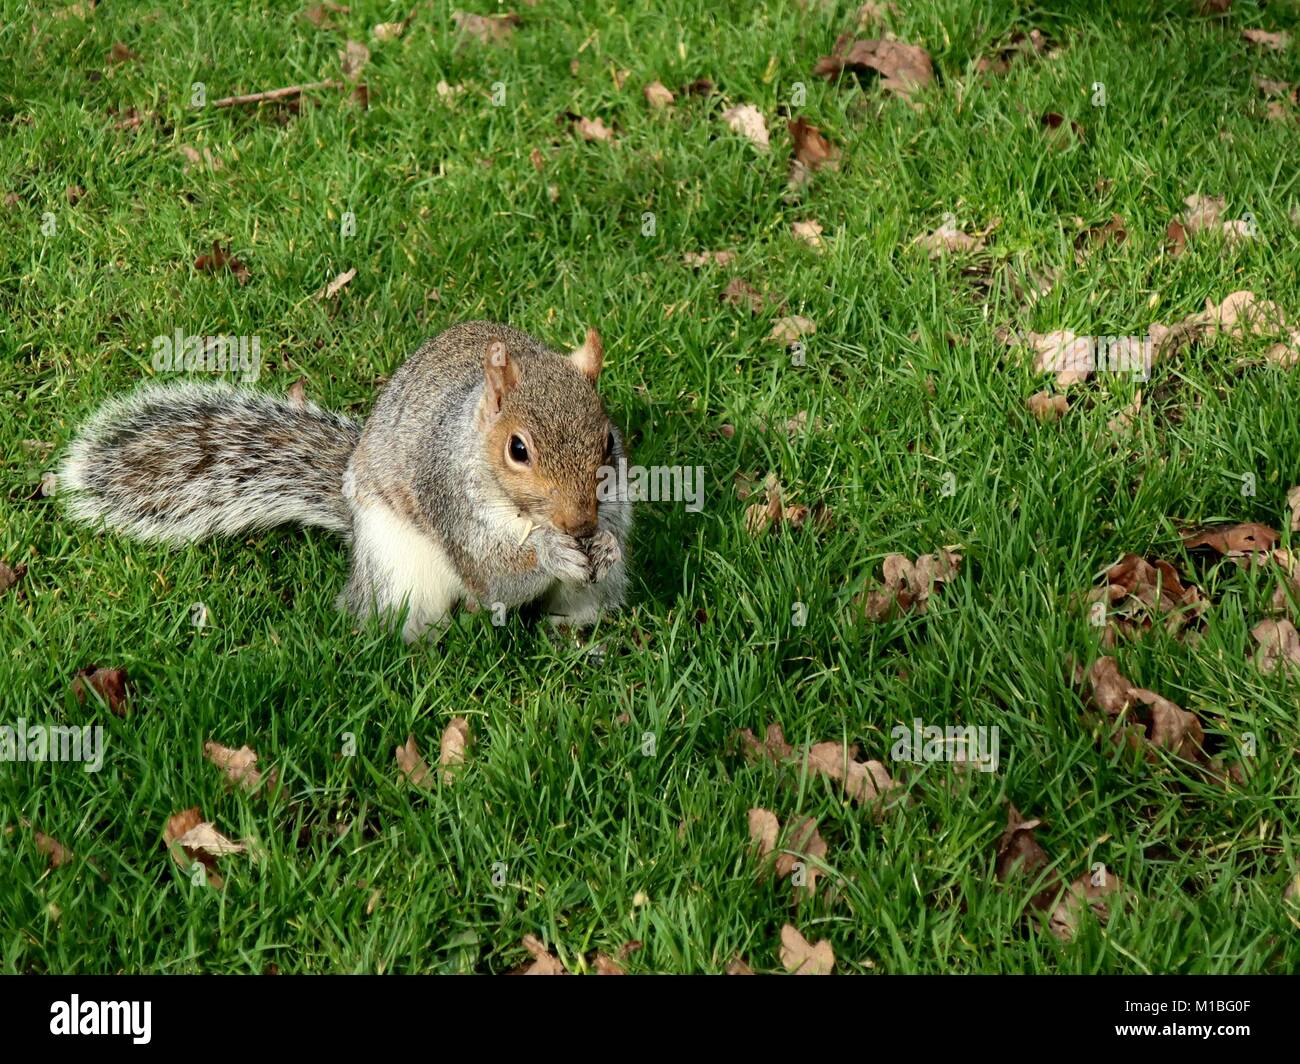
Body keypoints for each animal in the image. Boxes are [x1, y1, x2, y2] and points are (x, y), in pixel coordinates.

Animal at [59, 321, 631, 642]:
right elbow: (495, 579)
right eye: (518, 449)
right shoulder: (450, 500)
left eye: (609, 440)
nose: (580, 524)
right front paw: (550, 553)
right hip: (397, 566)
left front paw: (604, 546)